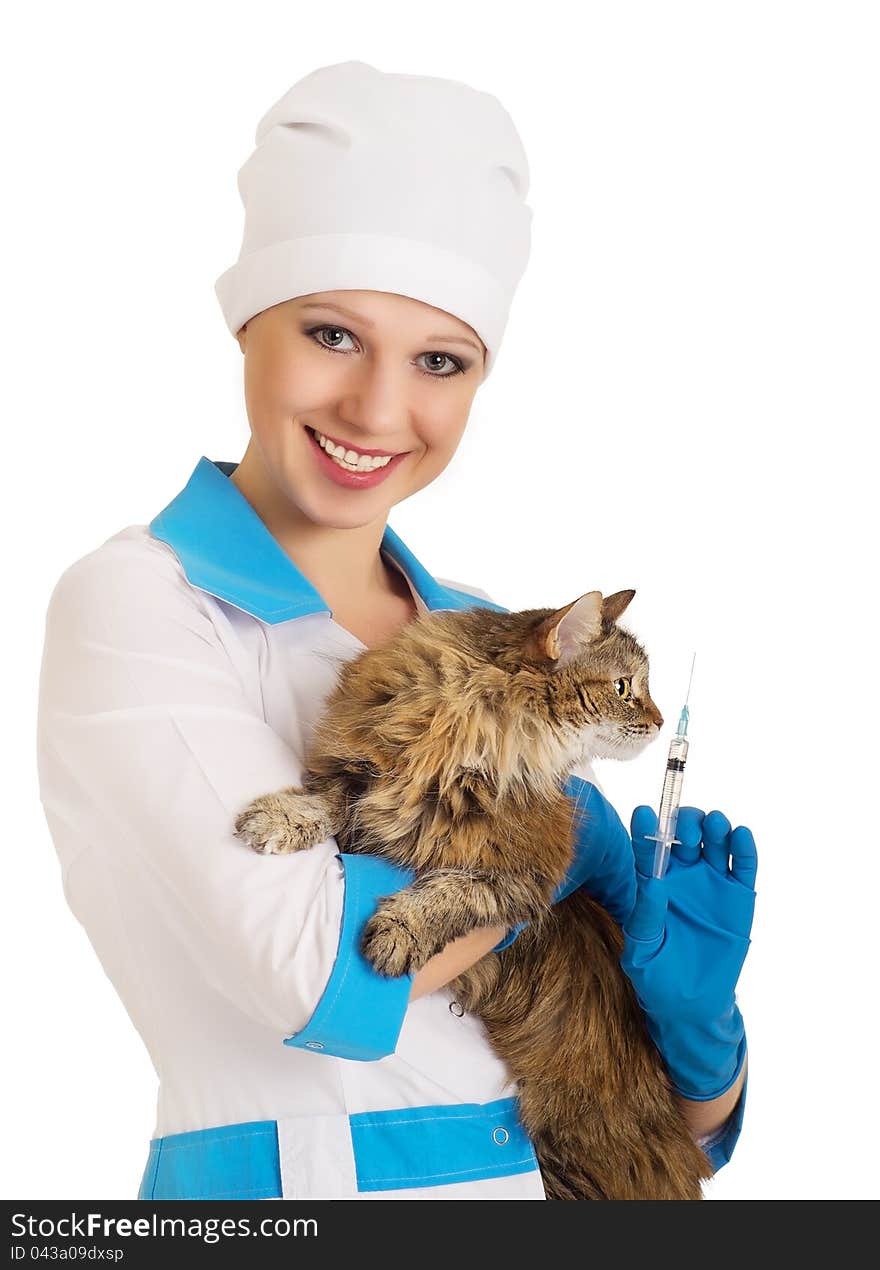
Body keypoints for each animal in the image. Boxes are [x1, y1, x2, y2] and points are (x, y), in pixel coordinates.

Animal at [233, 586, 716, 1198]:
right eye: (625, 687)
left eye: (640, 689)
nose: (659, 721)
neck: (463, 737)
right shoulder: (365, 784)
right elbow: (329, 801)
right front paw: (282, 816)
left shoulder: (522, 880)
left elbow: (449, 891)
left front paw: (397, 931)